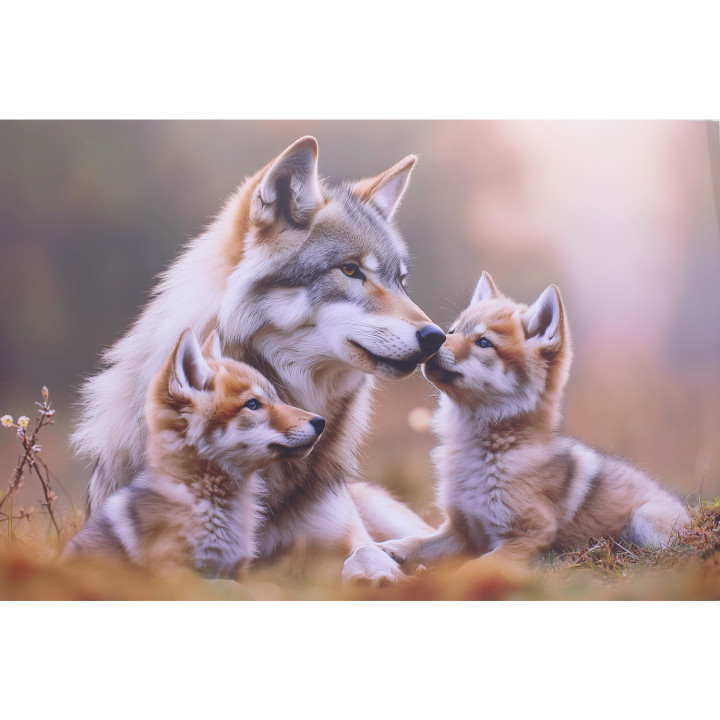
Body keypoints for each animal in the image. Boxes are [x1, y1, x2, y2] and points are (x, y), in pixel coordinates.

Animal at [380, 271, 690, 569]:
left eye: (484, 343)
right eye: (452, 331)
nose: (433, 341)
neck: (487, 452)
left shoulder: (528, 534)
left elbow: (473, 569)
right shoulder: (461, 530)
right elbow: (417, 542)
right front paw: (389, 550)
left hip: (646, 520)